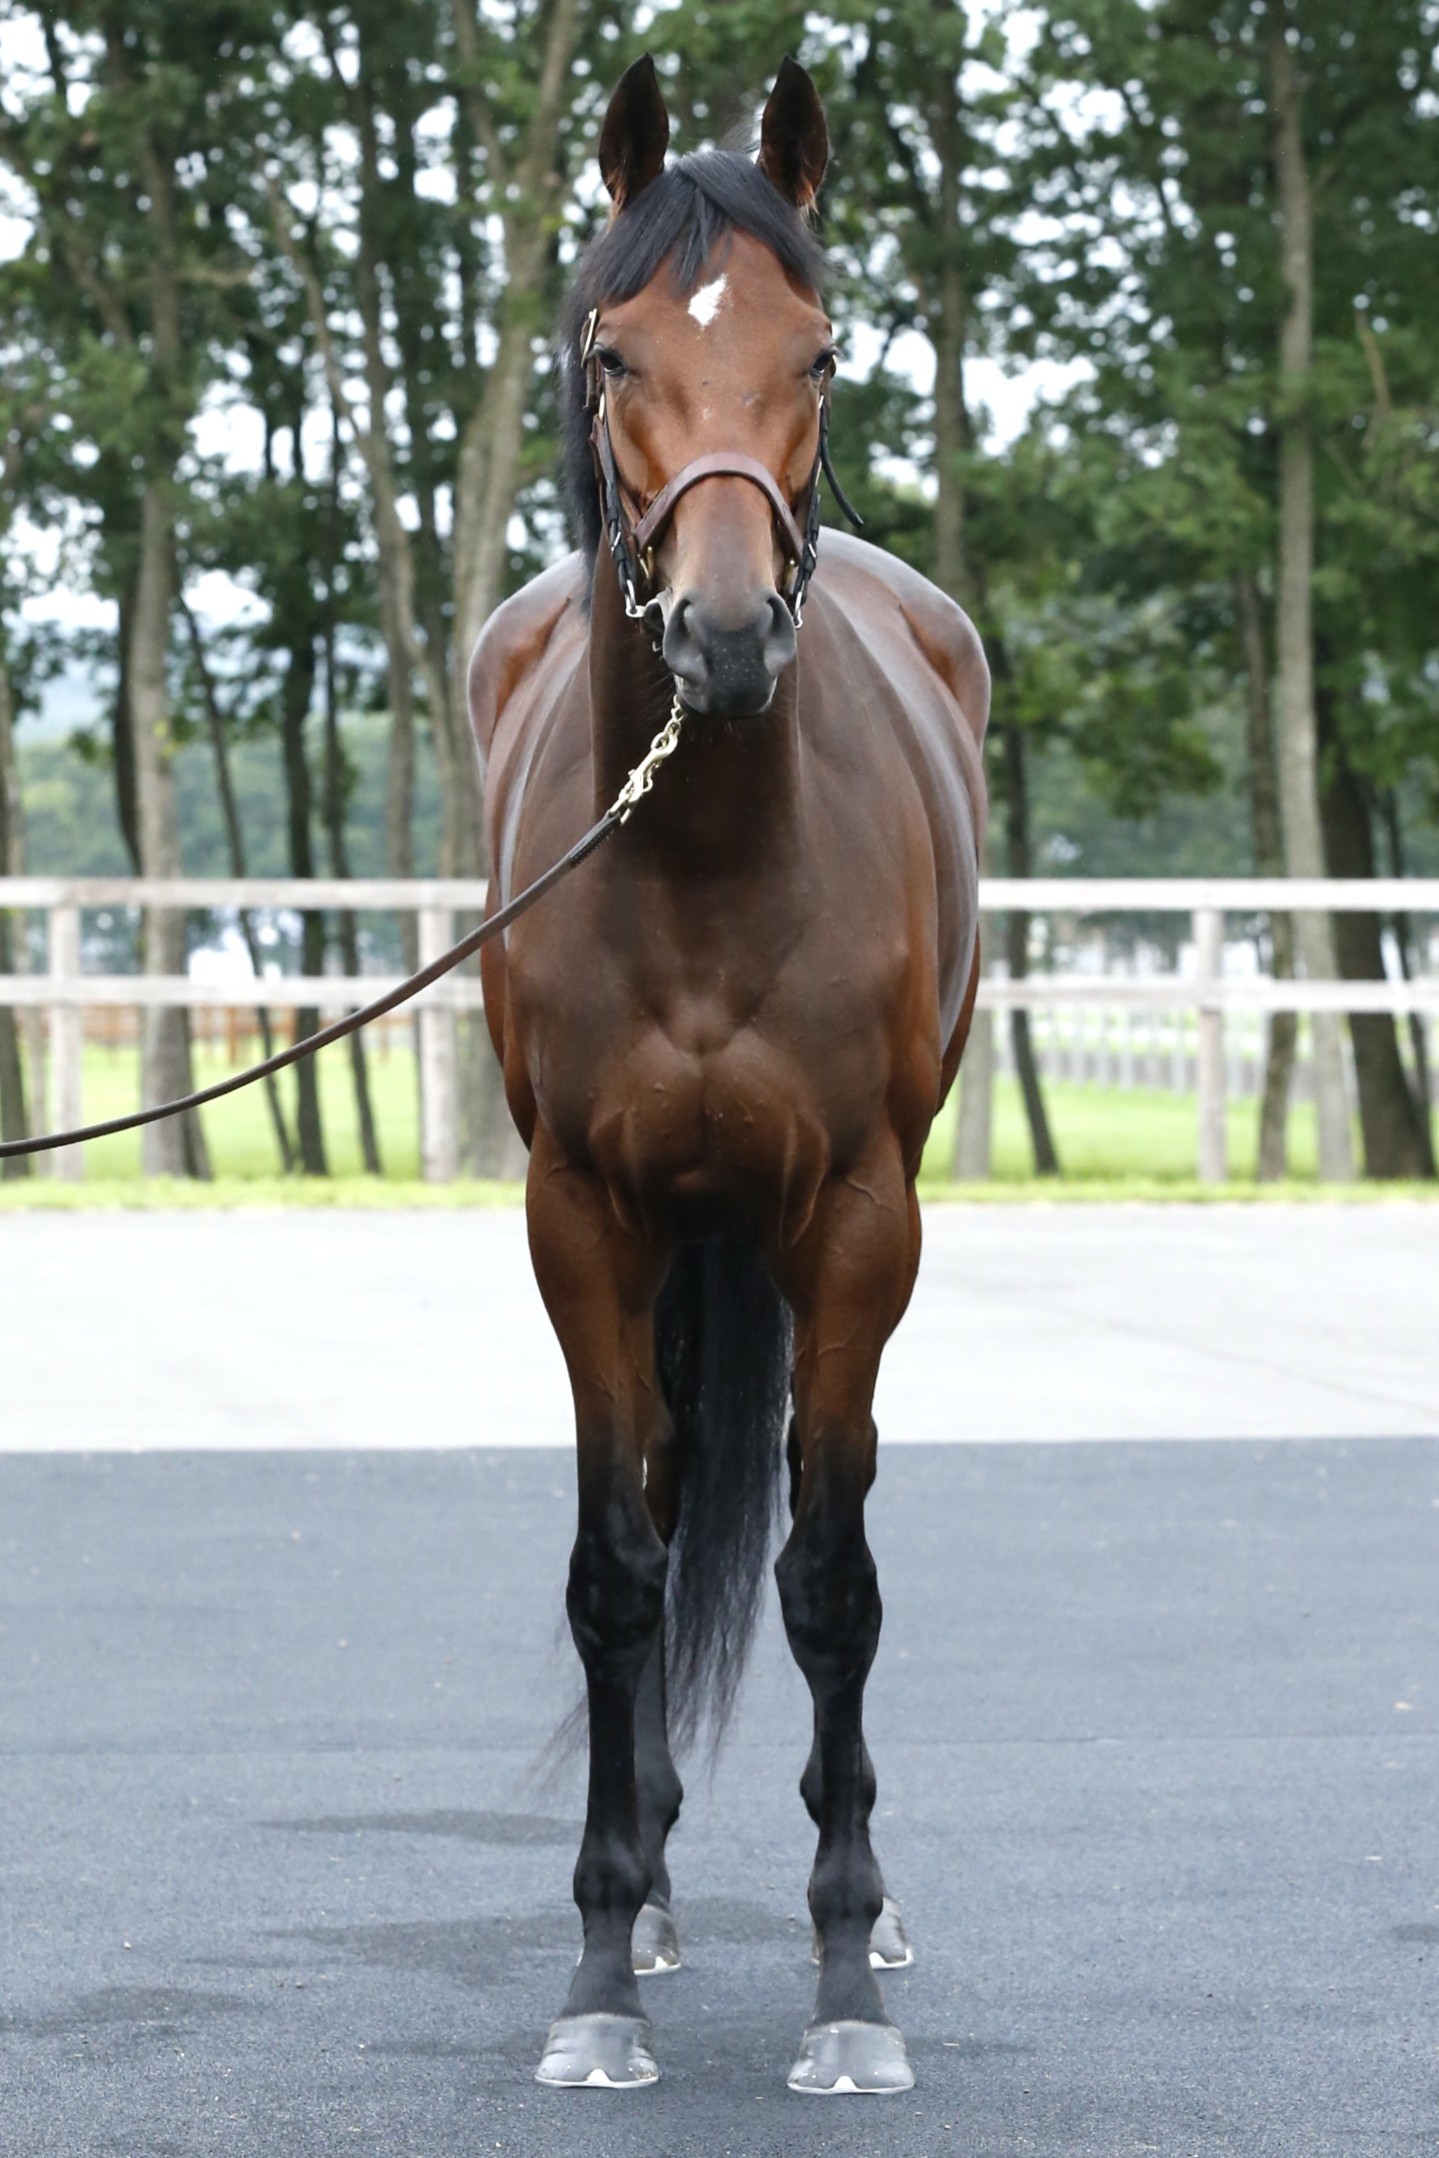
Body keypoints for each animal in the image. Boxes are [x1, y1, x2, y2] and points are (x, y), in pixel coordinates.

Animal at [468, 53, 988, 2096]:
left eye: (818, 349)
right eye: (613, 353)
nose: (724, 634)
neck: (694, 850)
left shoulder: (853, 1214)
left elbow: (831, 1575)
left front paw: (845, 1984)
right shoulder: (581, 1216)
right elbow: (615, 1569)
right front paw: (599, 1971)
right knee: (676, 1489)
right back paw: (661, 1883)